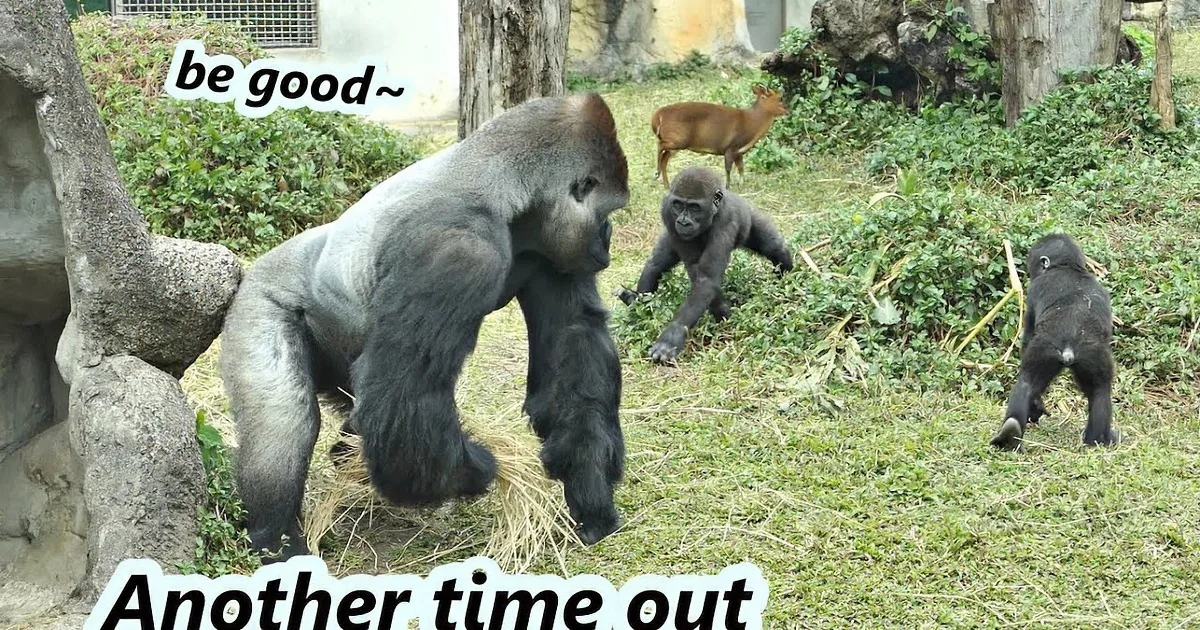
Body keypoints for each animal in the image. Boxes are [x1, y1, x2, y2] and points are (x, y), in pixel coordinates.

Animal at [219, 92, 630, 562]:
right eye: (608, 213)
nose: (607, 240)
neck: (501, 189)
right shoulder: (455, 252)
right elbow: (406, 398)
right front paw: (475, 470)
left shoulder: (553, 250)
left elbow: (572, 341)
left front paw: (589, 481)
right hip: (258, 299)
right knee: (285, 421)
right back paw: (277, 540)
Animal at [617, 166, 794, 363]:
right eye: (678, 205)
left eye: (695, 207)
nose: (683, 222)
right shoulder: (668, 214)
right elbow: (697, 273)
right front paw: (724, 314)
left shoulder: (725, 221)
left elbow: (706, 280)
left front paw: (673, 335)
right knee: (655, 264)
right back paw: (635, 301)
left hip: (749, 216)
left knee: (774, 248)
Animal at [991, 233, 1119, 451]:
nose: (1033, 273)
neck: (1068, 267)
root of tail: (1069, 348)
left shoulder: (1034, 291)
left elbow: (1028, 335)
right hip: (1091, 354)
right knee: (1099, 390)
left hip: (1047, 348)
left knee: (1028, 381)